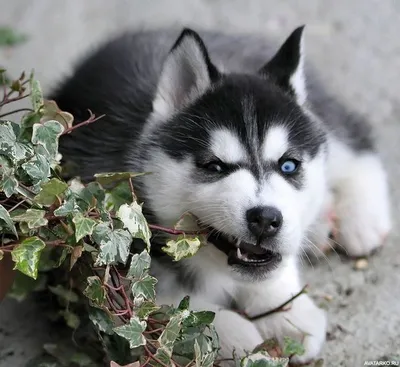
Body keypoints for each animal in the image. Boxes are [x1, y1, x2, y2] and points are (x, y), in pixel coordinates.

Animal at [52, 26, 390, 366]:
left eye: (289, 165)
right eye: (214, 166)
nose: (266, 219)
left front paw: (287, 311)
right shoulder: (98, 266)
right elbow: (169, 307)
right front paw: (231, 335)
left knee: (353, 140)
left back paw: (362, 221)